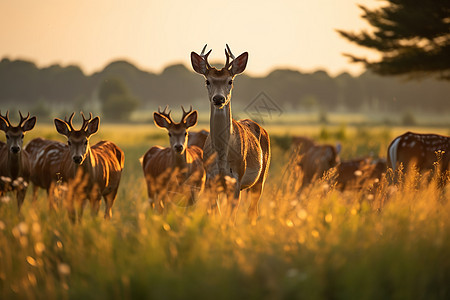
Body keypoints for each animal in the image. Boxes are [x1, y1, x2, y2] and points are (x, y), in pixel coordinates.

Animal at [191, 44, 270, 223]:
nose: (219, 98)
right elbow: (216, 214)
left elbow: (230, 218)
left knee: (253, 211)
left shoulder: (236, 179)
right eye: (207, 81)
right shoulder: (211, 180)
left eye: (230, 81)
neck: (221, 158)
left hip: (261, 177)